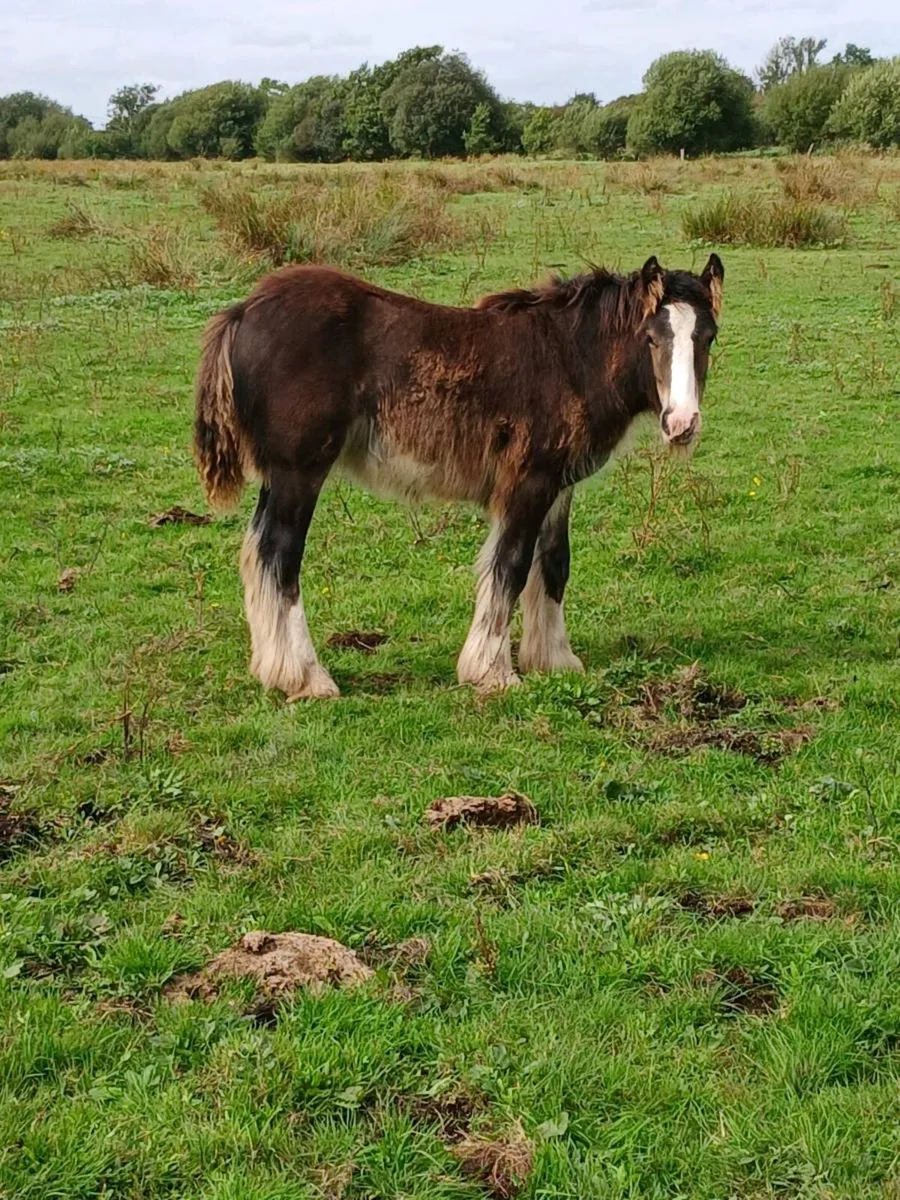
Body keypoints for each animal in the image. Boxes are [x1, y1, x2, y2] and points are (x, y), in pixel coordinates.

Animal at [194, 253, 724, 699]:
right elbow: (510, 566)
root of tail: (243, 310)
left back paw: (274, 671)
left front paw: (554, 660)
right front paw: (492, 672)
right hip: (299, 472)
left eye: (708, 337)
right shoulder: (528, 484)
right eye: (650, 337)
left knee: (257, 555)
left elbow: (553, 565)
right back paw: (308, 677)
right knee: (280, 557)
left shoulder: (558, 487)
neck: (570, 359)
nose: (681, 424)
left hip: (279, 477)